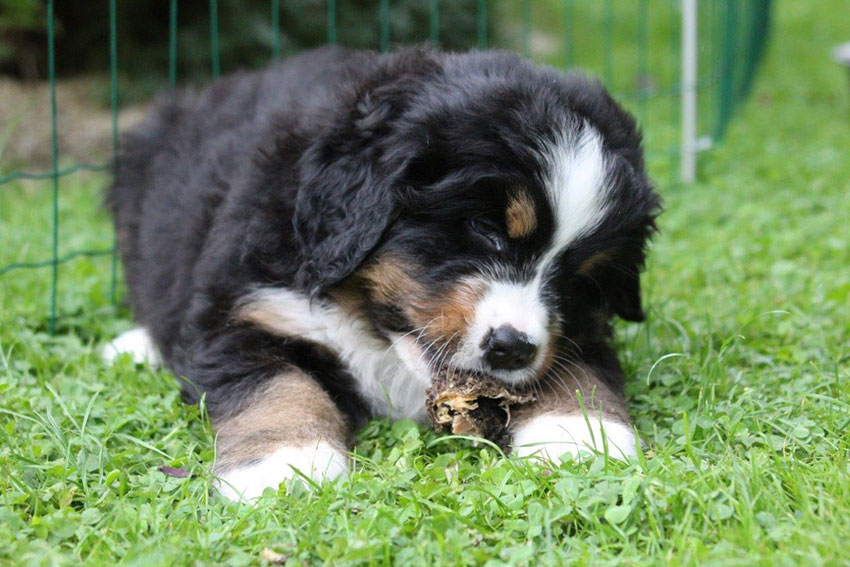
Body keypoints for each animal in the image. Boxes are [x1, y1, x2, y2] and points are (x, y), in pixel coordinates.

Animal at [105, 46, 660, 500]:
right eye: (485, 228)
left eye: (579, 275)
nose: (512, 348)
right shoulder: (241, 307)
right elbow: (277, 383)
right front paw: (287, 462)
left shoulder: (581, 327)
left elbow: (577, 368)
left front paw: (578, 435)